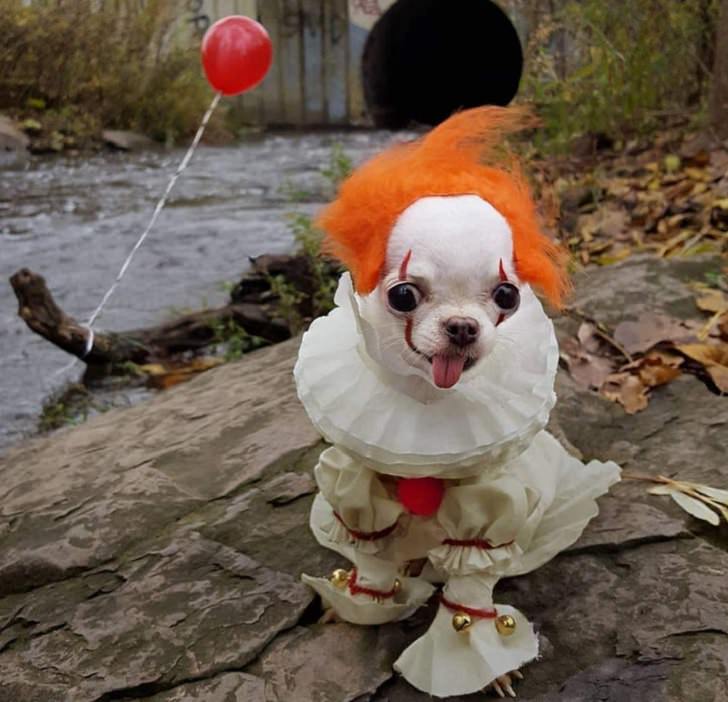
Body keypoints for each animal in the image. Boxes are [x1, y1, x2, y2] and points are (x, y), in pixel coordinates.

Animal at [292, 107, 616, 700]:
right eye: (403, 295)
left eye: (507, 295)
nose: (463, 326)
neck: (427, 399)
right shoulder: (359, 480)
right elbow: (370, 547)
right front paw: (362, 604)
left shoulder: (491, 503)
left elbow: (472, 574)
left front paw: (478, 658)